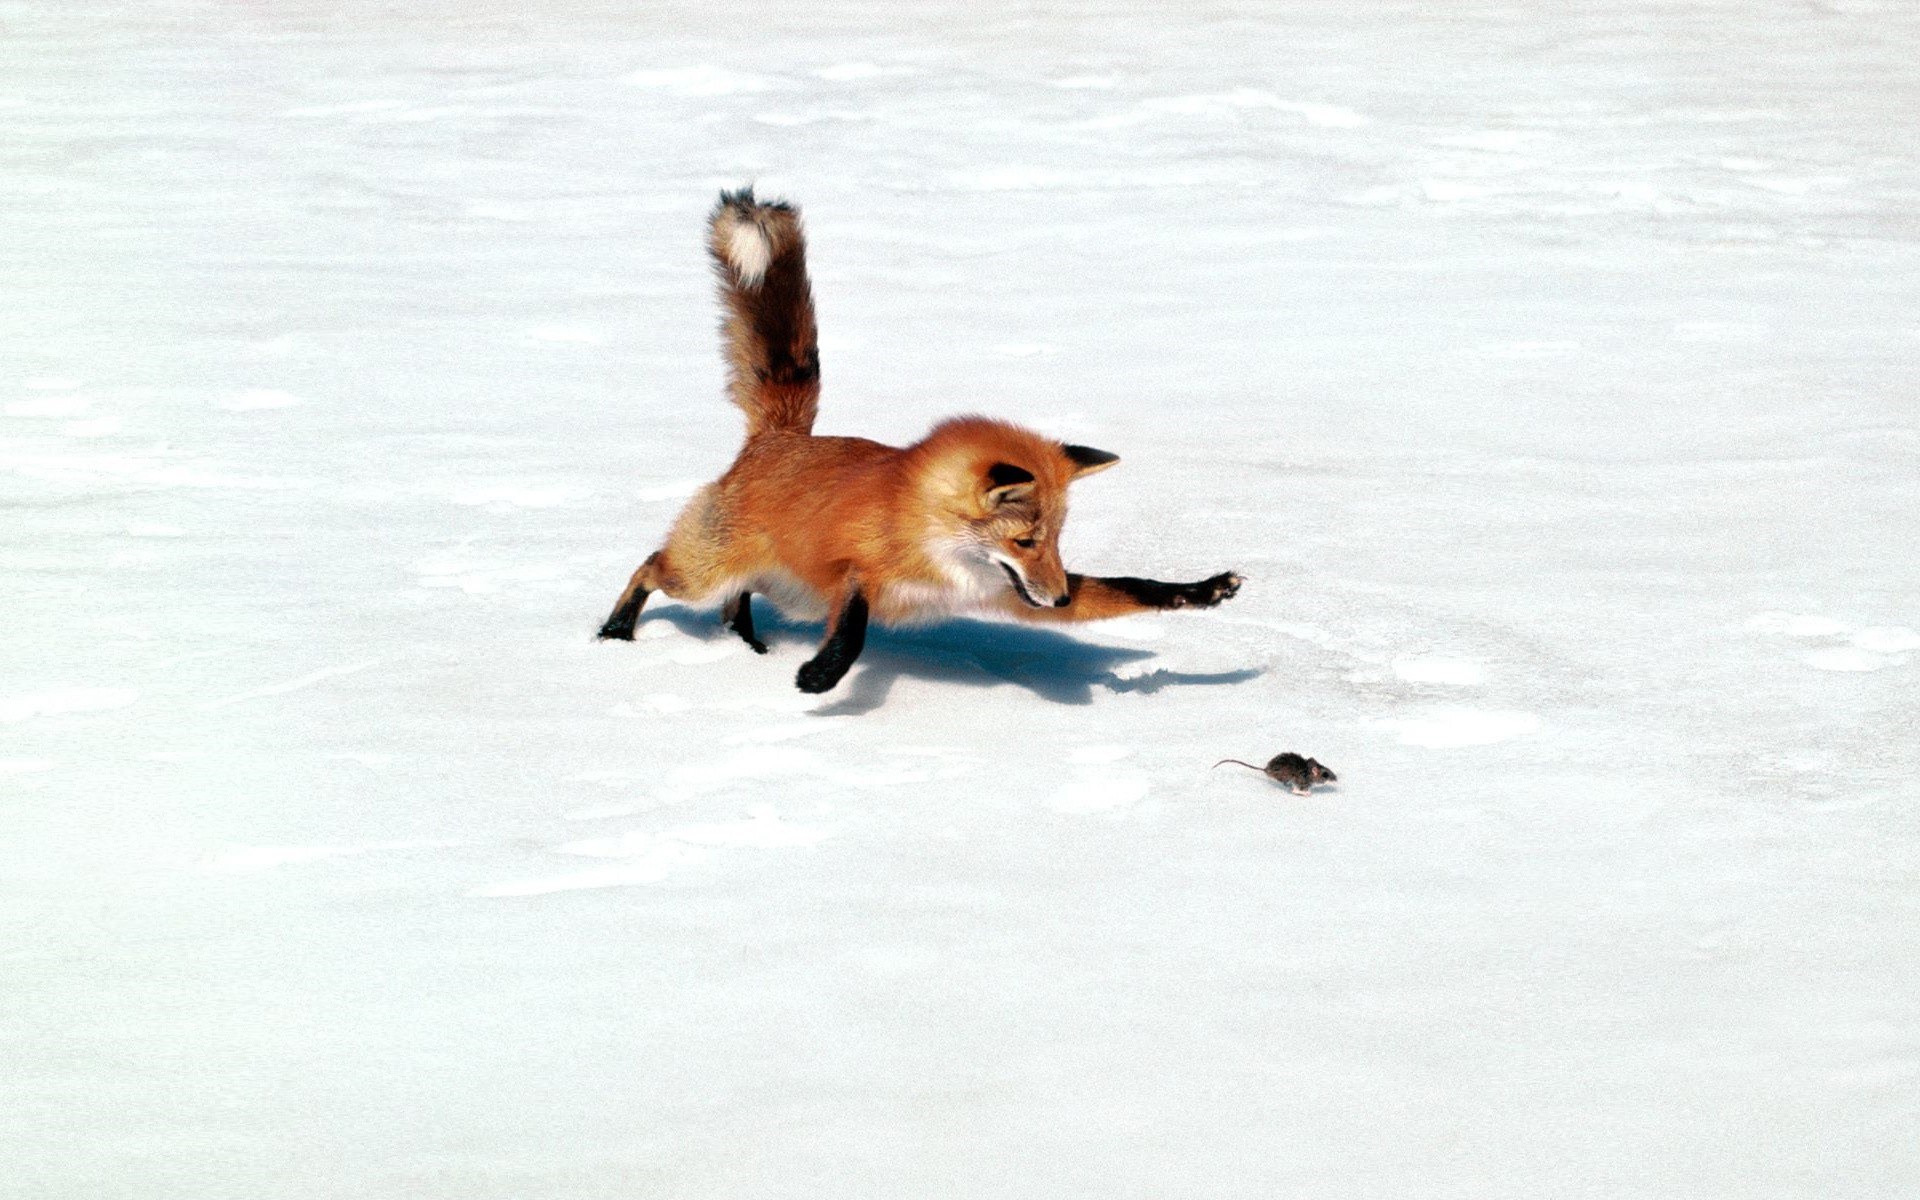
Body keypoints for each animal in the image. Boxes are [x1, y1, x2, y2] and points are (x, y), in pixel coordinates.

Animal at [597, 188, 1243, 694]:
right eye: (1026, 540)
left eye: (1058, 541)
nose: (1059, 599)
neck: (935, 544)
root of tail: (779, 437)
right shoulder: (852, 570)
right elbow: (855, 625)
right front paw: (823, 675)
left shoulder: (1008, 593)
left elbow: (1134, 587)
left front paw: (1203, 591)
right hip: (704, 573)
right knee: (651, 567)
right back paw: (614, 632)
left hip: (774, 587)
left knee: (734, 603)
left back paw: (747, 647)